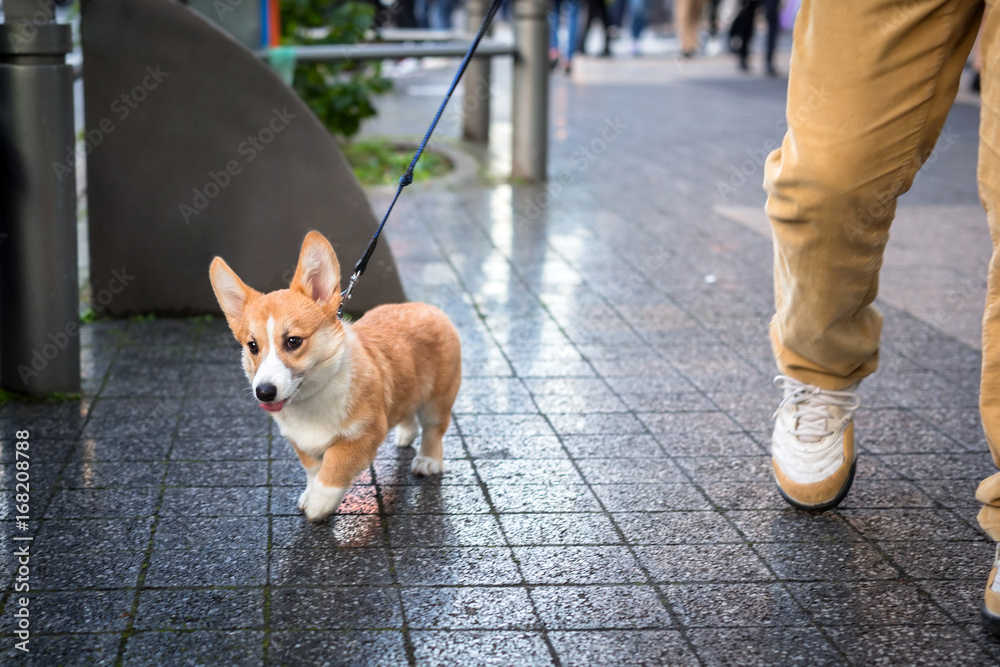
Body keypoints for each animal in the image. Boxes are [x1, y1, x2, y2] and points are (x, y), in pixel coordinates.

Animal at [213, 234, 462, 520]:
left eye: (293, 341)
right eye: (252, 346)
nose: (264, 392)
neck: (312, 397)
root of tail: (426, 306)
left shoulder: (365, 433)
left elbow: (335, 464)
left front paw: (319, 503)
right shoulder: (301, 443)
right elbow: (313, 469)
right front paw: (310, 494)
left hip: (438, 399)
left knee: (434, 429)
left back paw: (428, 460)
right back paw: (405, 434)